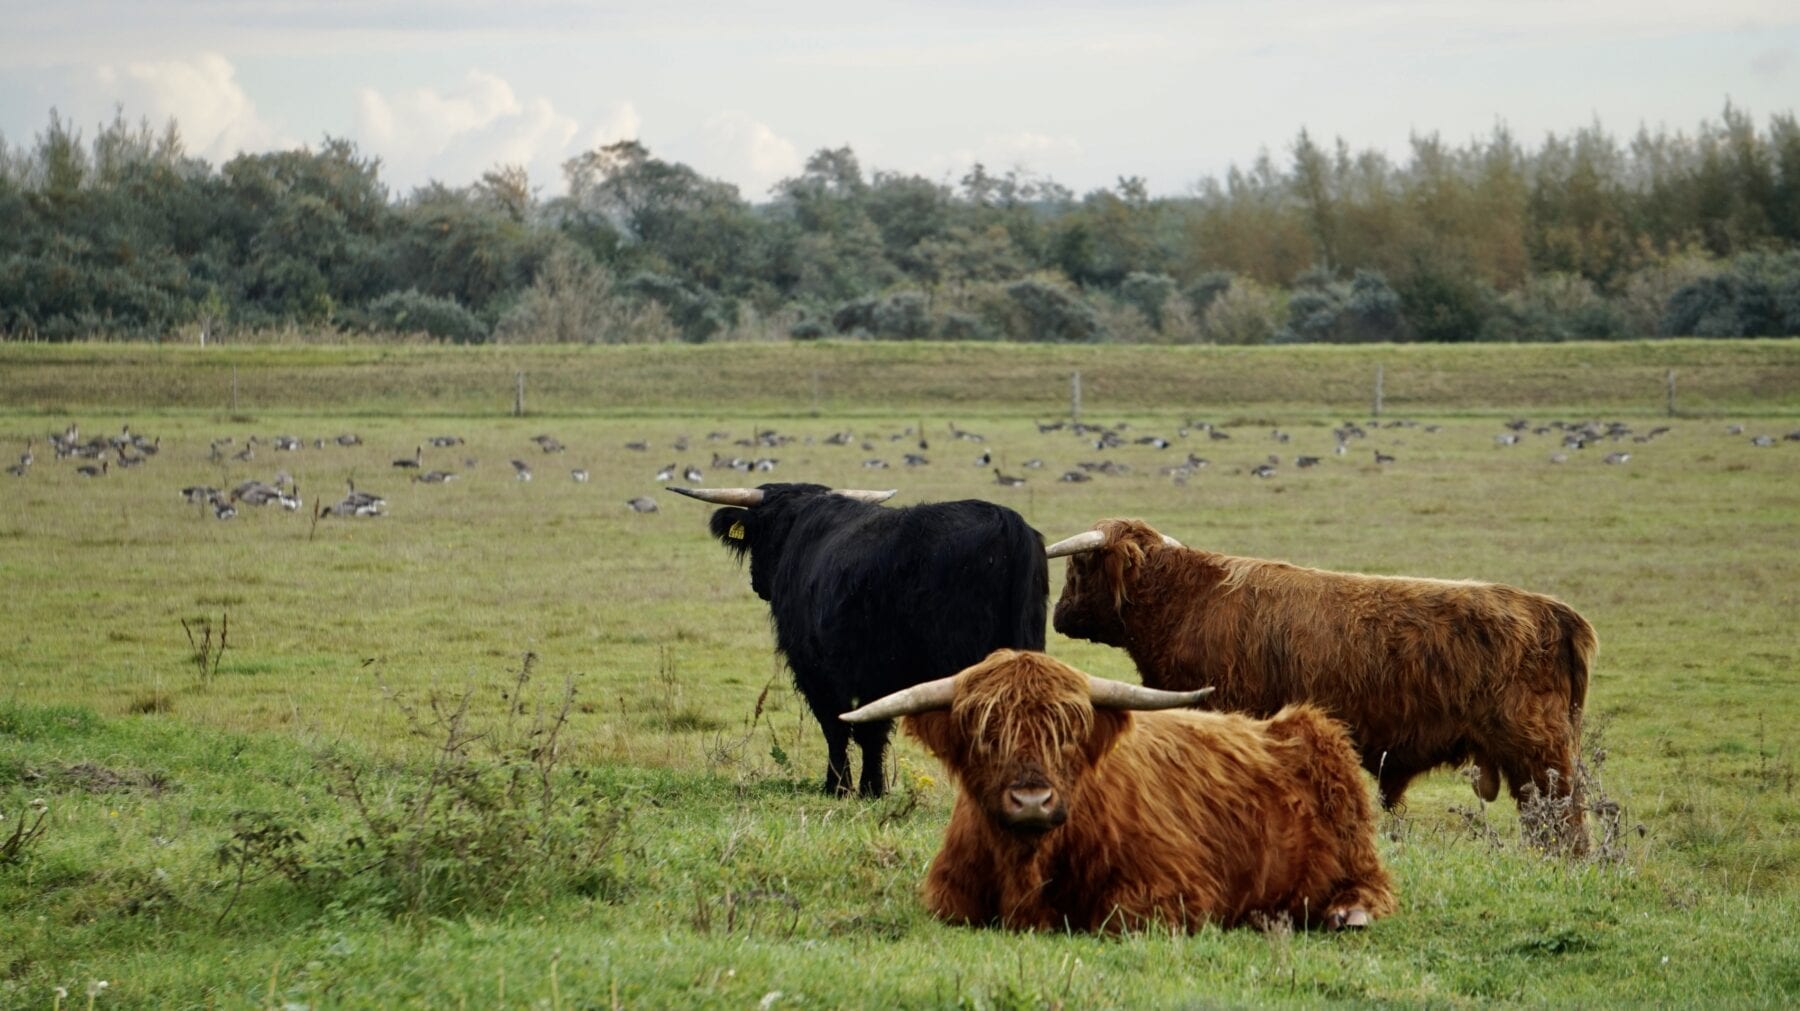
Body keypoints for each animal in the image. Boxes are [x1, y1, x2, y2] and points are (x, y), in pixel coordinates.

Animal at [1051, 514, 1598, 845]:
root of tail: (1555, 612)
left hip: (1539, 756)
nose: (1057, 615)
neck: (1181, 601)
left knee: (1566, 825)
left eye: (1078, 567)